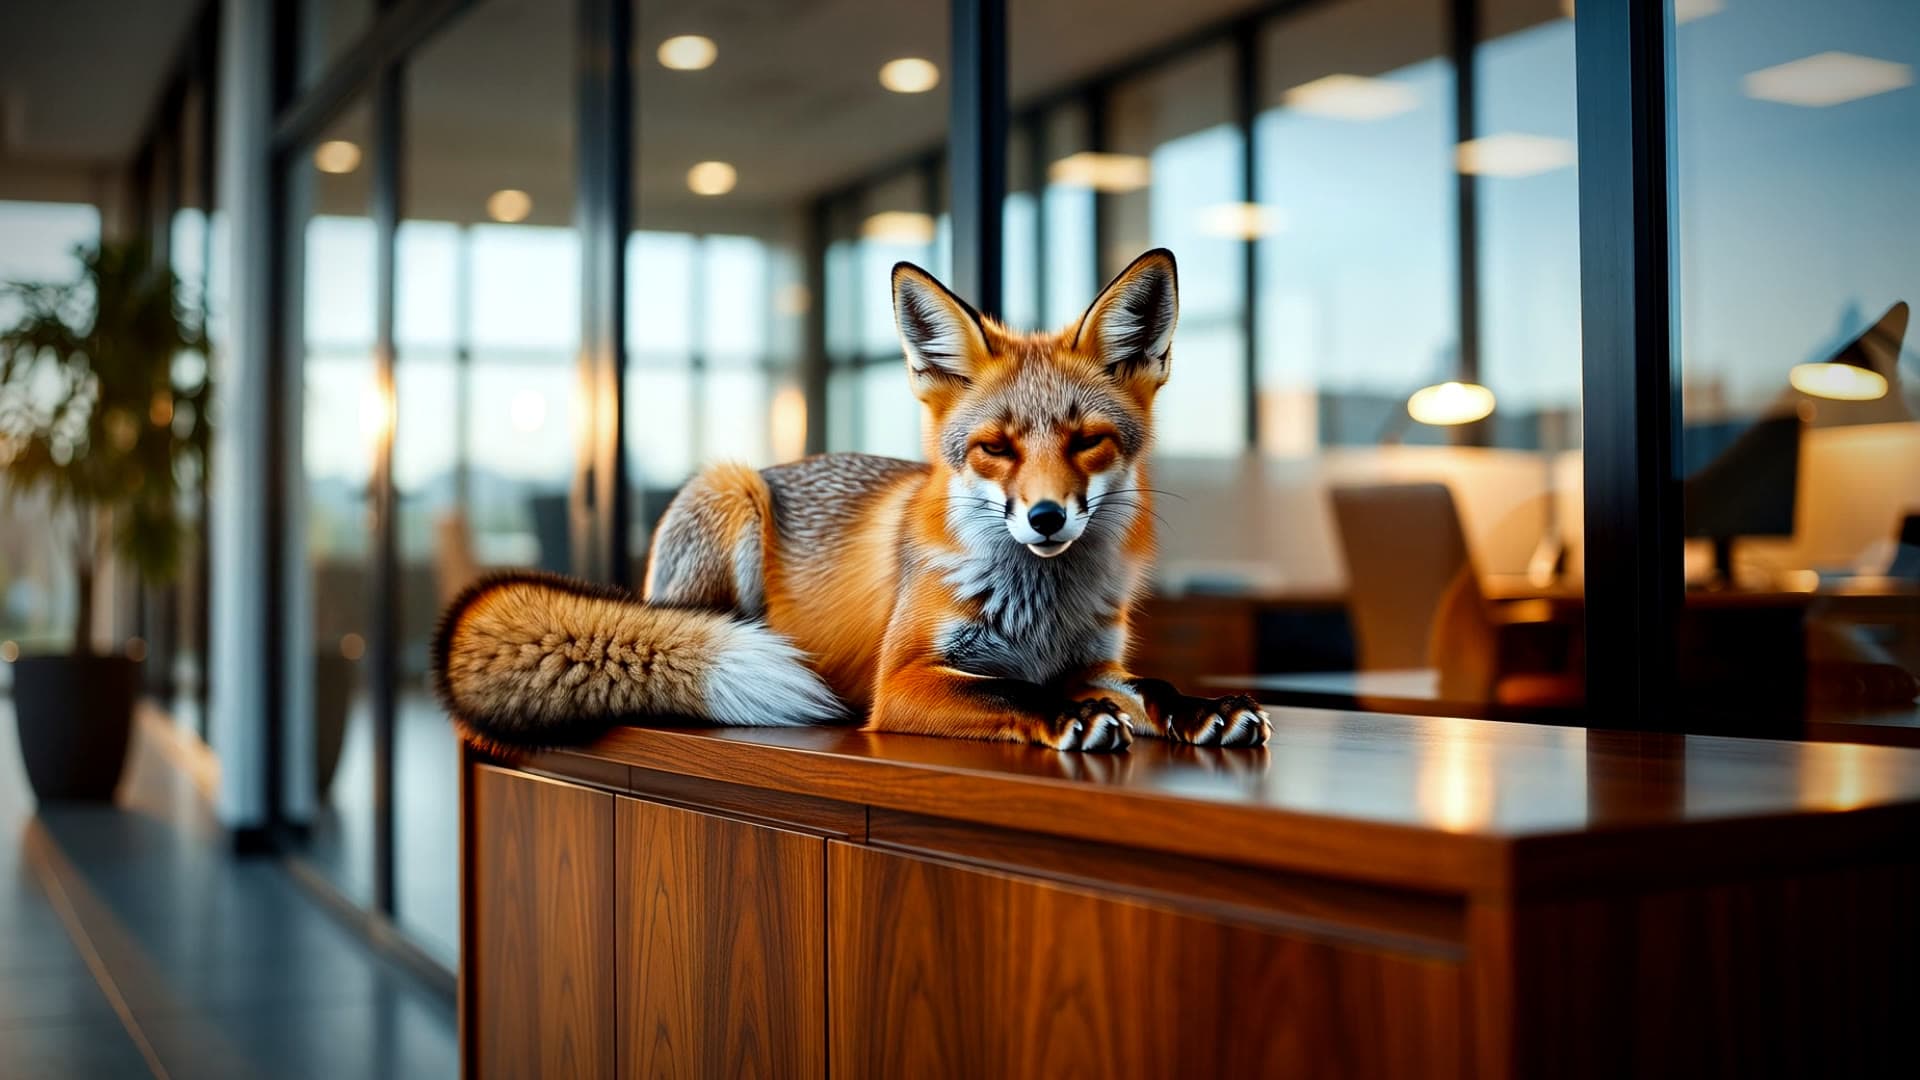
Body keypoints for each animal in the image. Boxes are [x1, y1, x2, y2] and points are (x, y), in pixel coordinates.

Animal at [433, 248, 1269, 753]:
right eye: (996, 448)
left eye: (1088, 441)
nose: (1045, 517)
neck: (1040, 607)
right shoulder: (901, 682)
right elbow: (1011, 689)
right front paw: (1066, 712)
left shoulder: (1093, 657)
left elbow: (1146, 682)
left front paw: (1200, 707)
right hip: (729, 498)